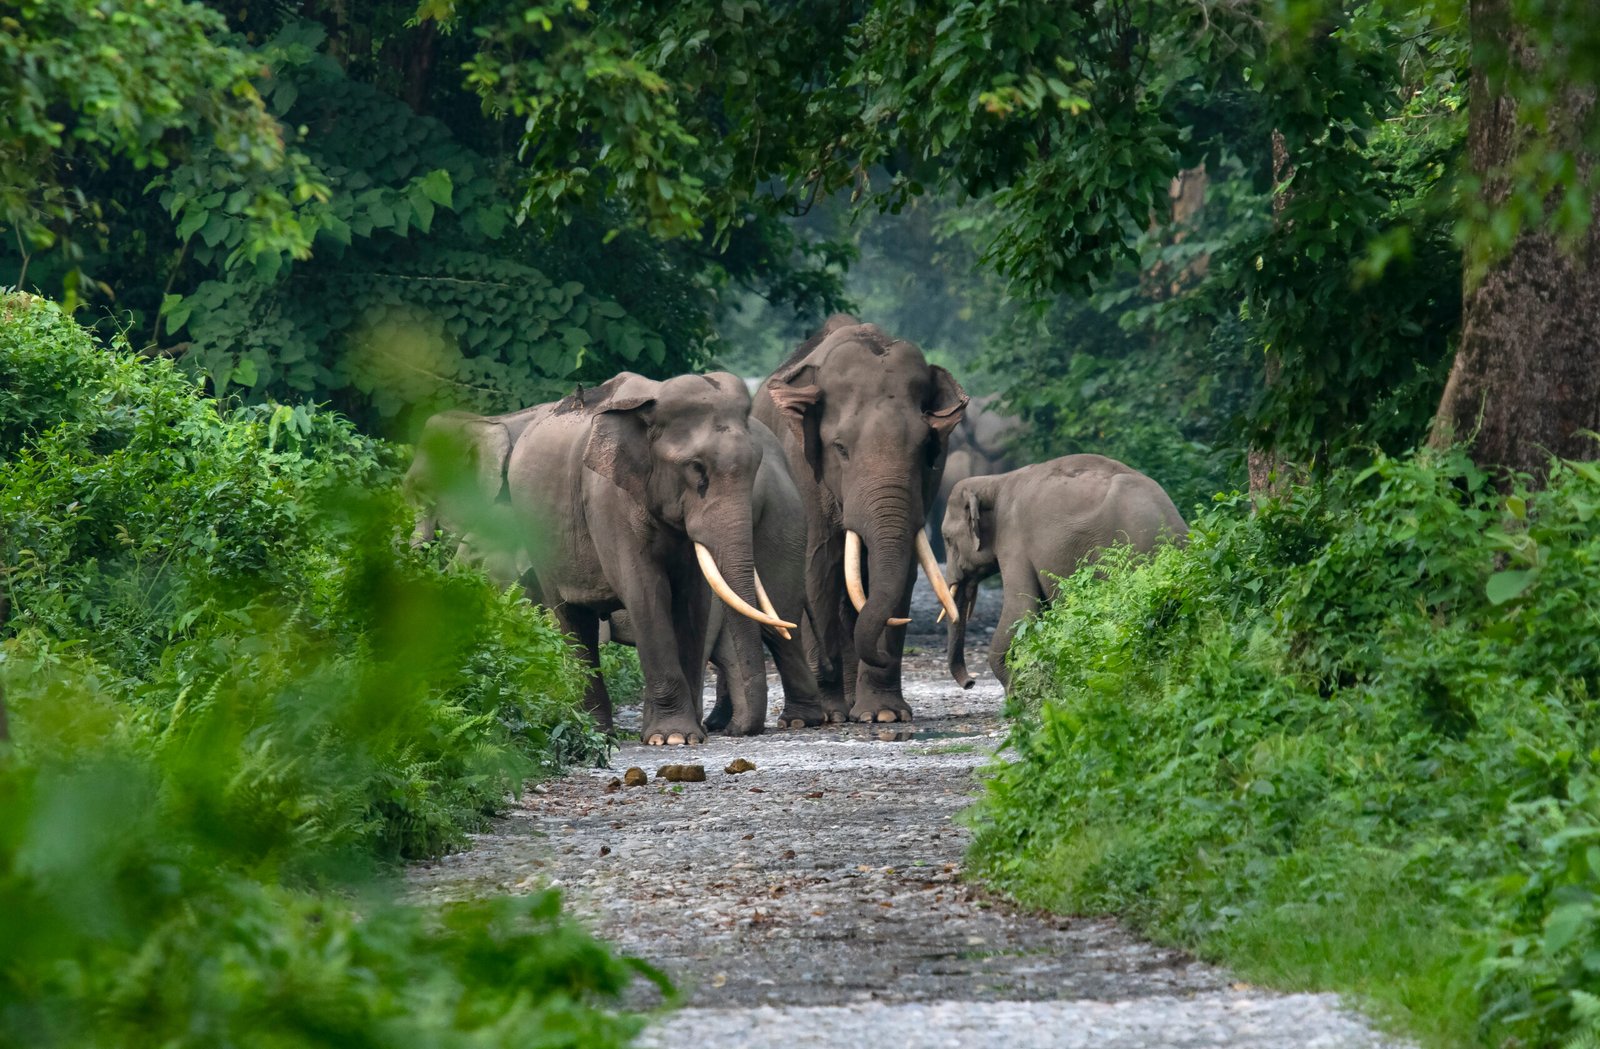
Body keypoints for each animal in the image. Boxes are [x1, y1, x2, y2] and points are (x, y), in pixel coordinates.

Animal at [507, 371, 795, 745]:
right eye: (696, 468)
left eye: (755, 463)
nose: (739, 732)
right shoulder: (608, 500)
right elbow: (645, 590)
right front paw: (672, 738)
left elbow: (693, 598)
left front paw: (686, 735)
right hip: (538, 539)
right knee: (572, 618)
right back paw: (599, 733)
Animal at [754, 314, 967, 724]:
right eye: (840, 448)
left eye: (925, 448)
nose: (968, 684)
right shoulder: (802, 468)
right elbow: (816, 567)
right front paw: (831, 714)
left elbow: (903, 571)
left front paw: (884, 715)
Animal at [944, 454, 1188, 692]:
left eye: (947, 538)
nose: (970, 683)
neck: (994, 482)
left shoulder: (1013, 539)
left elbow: (1022, 610)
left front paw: (1017, 697)